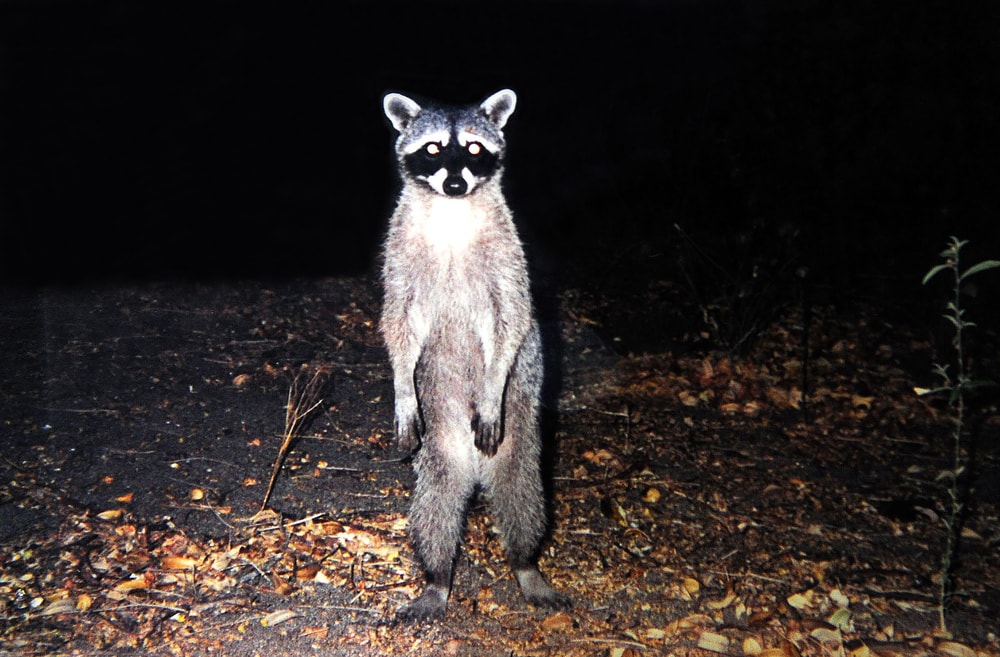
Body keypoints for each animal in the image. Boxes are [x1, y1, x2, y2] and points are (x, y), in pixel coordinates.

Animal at [380, 89, 570, 620]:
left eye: (473, 149)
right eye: (431, 149)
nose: (455, 182)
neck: (452, 210)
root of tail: (475, 468)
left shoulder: (507, 252)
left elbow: (512, 317)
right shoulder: (400, 250)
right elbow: (397, 322)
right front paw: (400, 386)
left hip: (517, 423)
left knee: (521, 490)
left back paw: (526, 563)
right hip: (439, 425)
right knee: (436, 500)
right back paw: (438, 576)